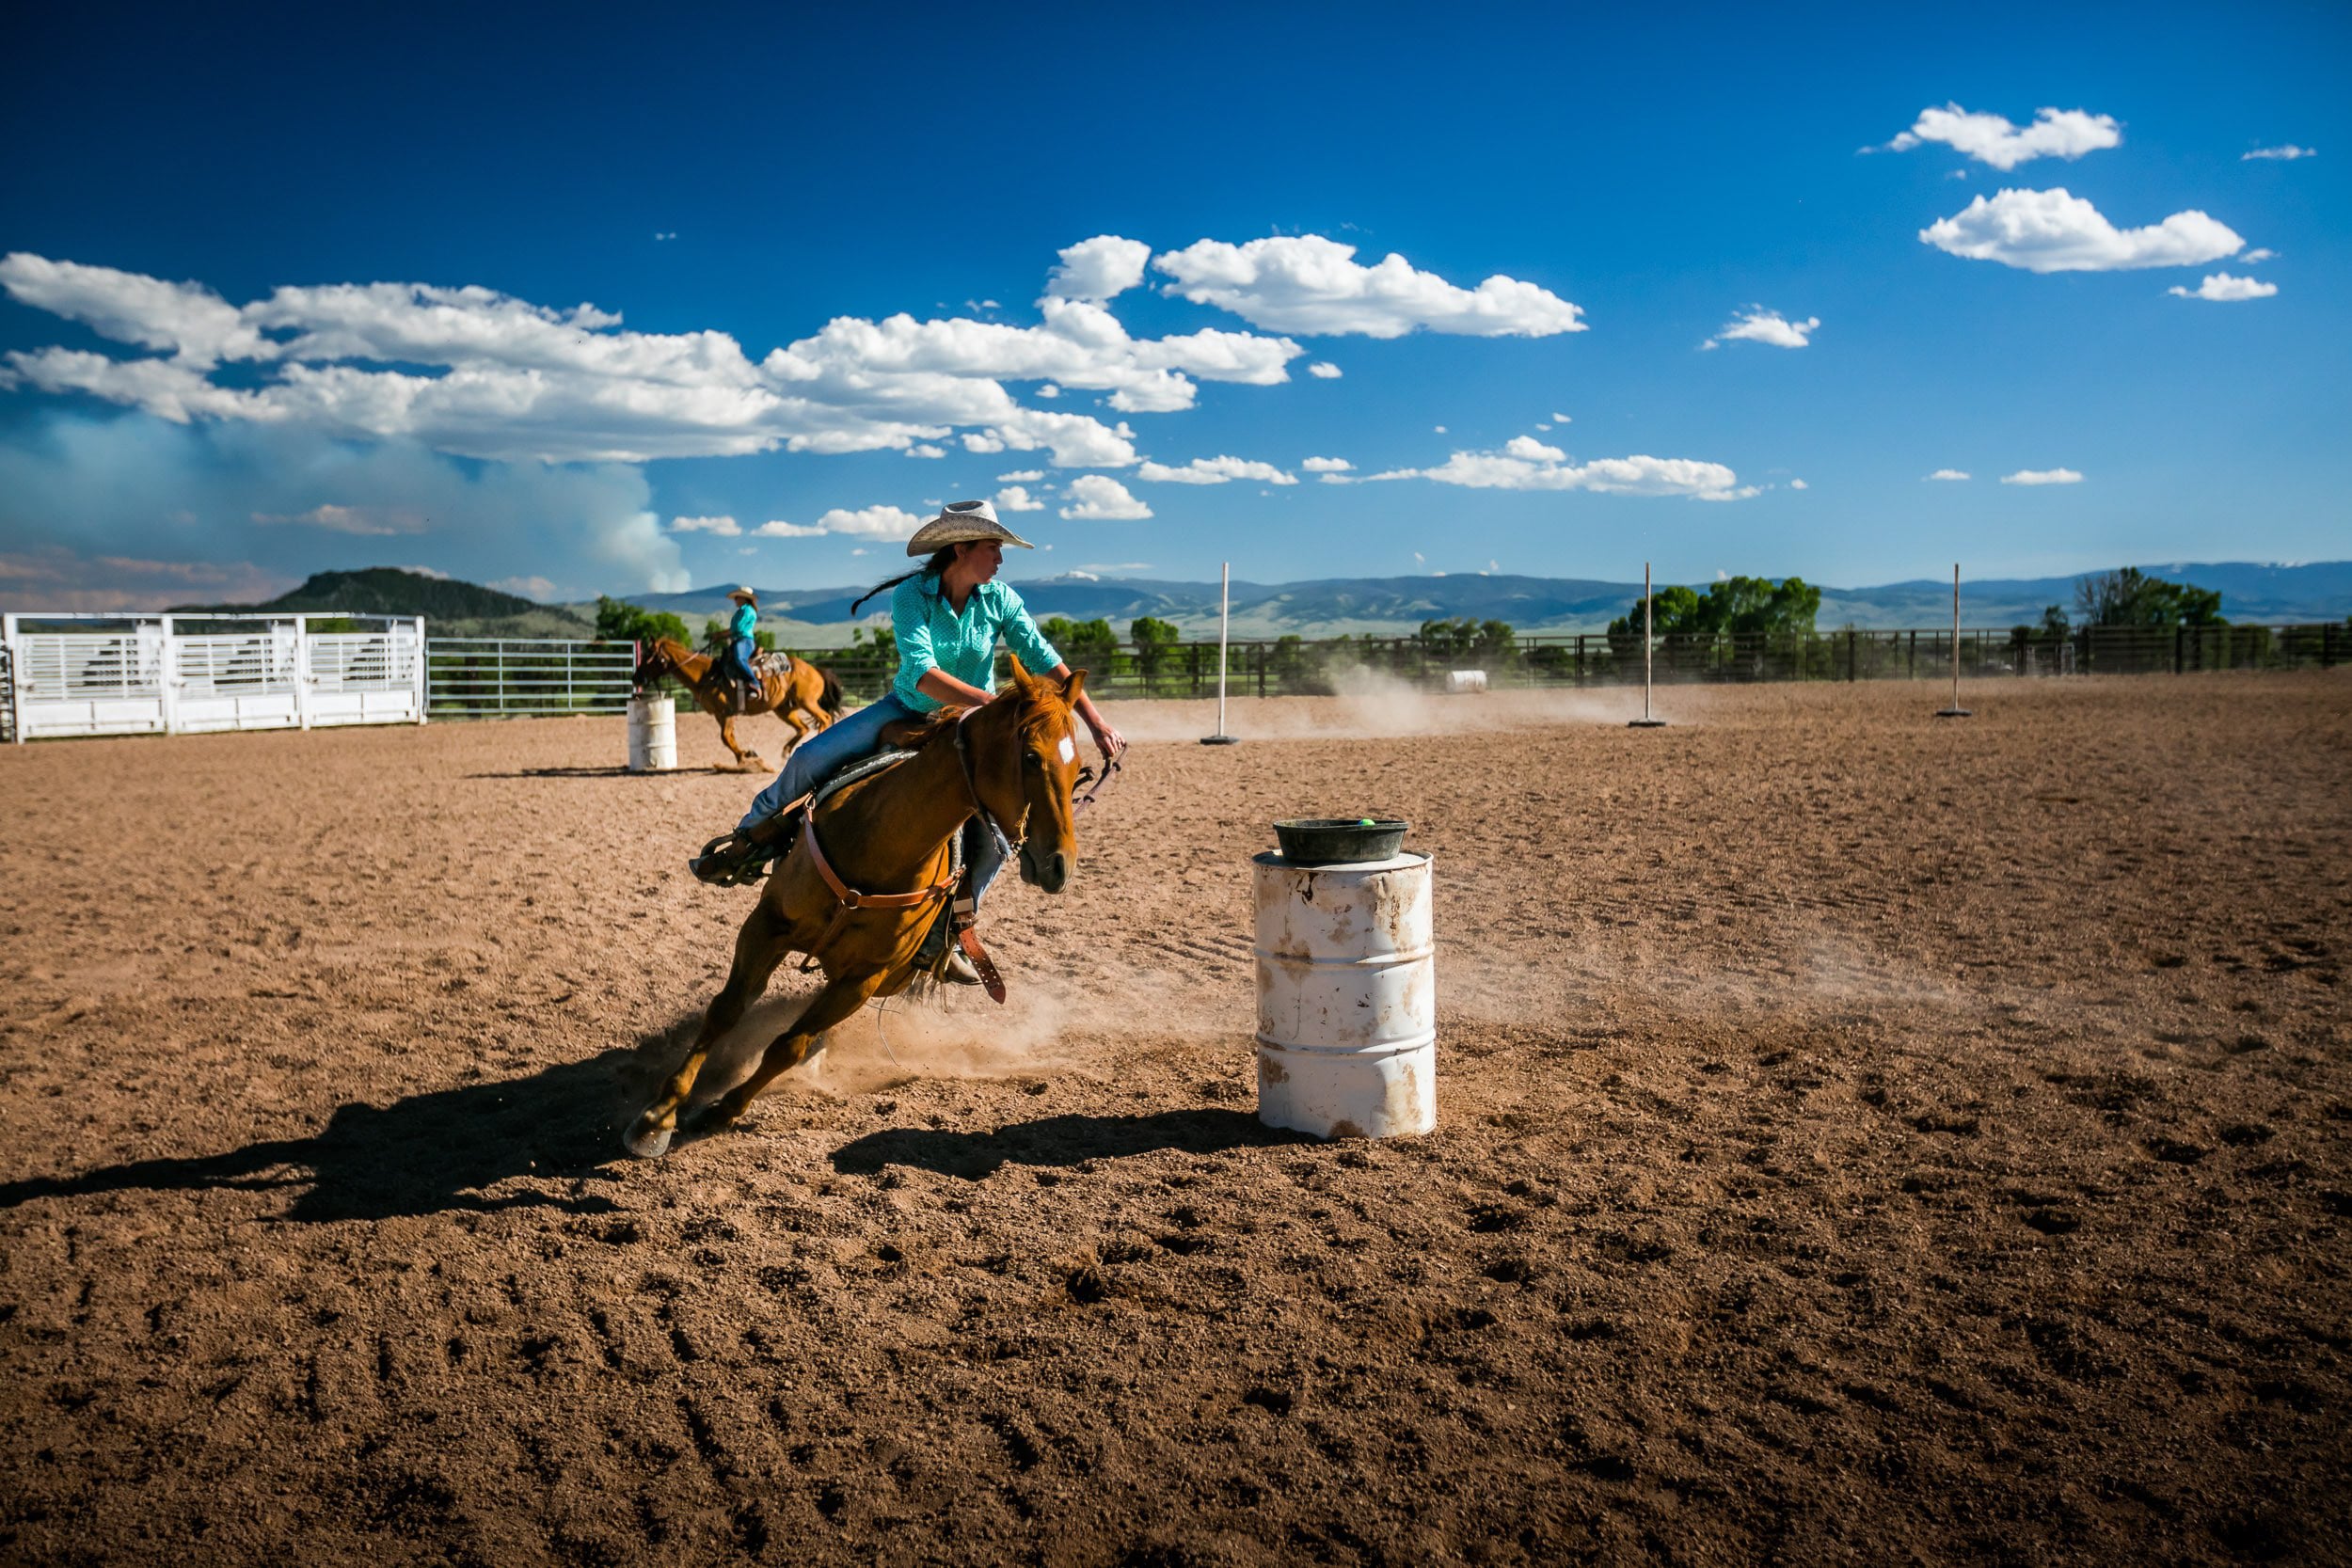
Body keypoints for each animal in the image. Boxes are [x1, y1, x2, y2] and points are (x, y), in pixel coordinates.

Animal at [630, 657, 1096, 1161]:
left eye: (1079, 769)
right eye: (1031, 757)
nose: (1060, 866)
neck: (881, 842)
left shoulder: (864, 978)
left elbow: (788, 1046)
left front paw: (721, 1110)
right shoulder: (766, 926)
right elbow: (726, 1010)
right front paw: (657, 1117)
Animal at [635, 639, 847, 770]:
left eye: (648, 656)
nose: (636, 677)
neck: (707, 676)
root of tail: (816, 670)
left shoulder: (727, 712)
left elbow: (726, 737)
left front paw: (746, 757)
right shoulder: (720, 715)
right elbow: (728, 738)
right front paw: (744, 757)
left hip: (807, 702)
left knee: (824, 718)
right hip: (784, 709)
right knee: (803, 728)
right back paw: (787, 751)